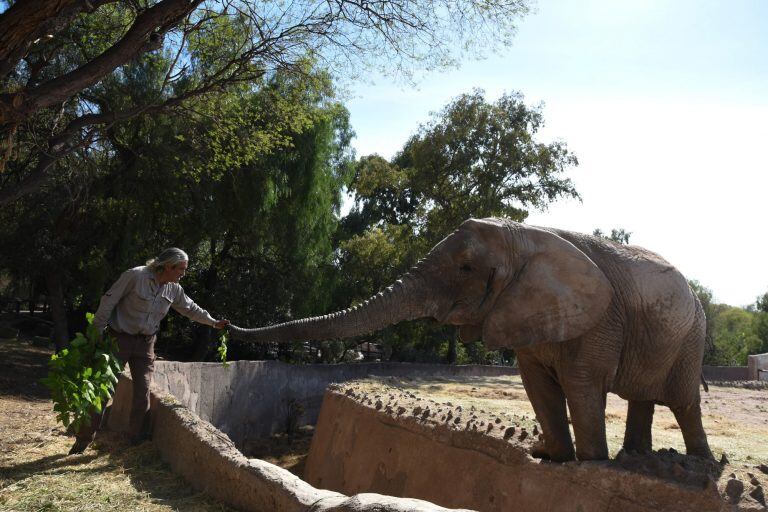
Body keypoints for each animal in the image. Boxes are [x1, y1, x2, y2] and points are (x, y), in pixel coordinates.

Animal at [230, 218, 712, 462]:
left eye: (465, 268)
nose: (224, 323)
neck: (528, 232)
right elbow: (536, 384)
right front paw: (548, 455)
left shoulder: (598, 319)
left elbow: (581, 383)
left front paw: (591, 466)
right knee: (644, 398)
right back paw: (636, 459)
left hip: (693, 336)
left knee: (683, 401)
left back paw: (696, 464)